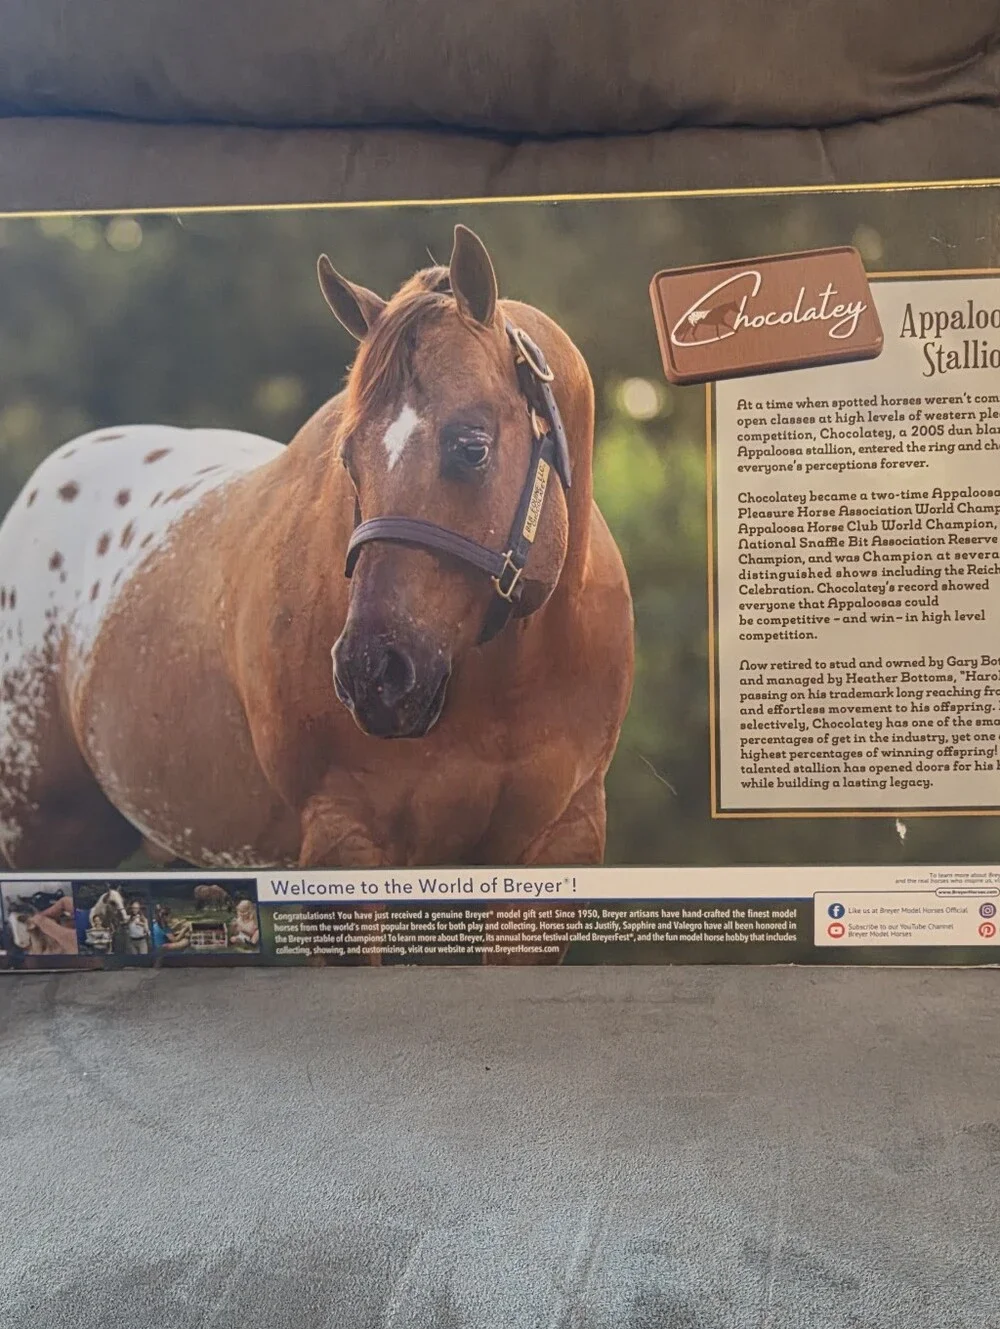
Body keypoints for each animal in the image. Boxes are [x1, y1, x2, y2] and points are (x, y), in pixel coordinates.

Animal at [0, 224, 634, 964]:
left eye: (471, 446)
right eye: (349, 459)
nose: (373, 674)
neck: (505, 680)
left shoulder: (553, 852)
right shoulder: (344, 849)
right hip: (42, 836)